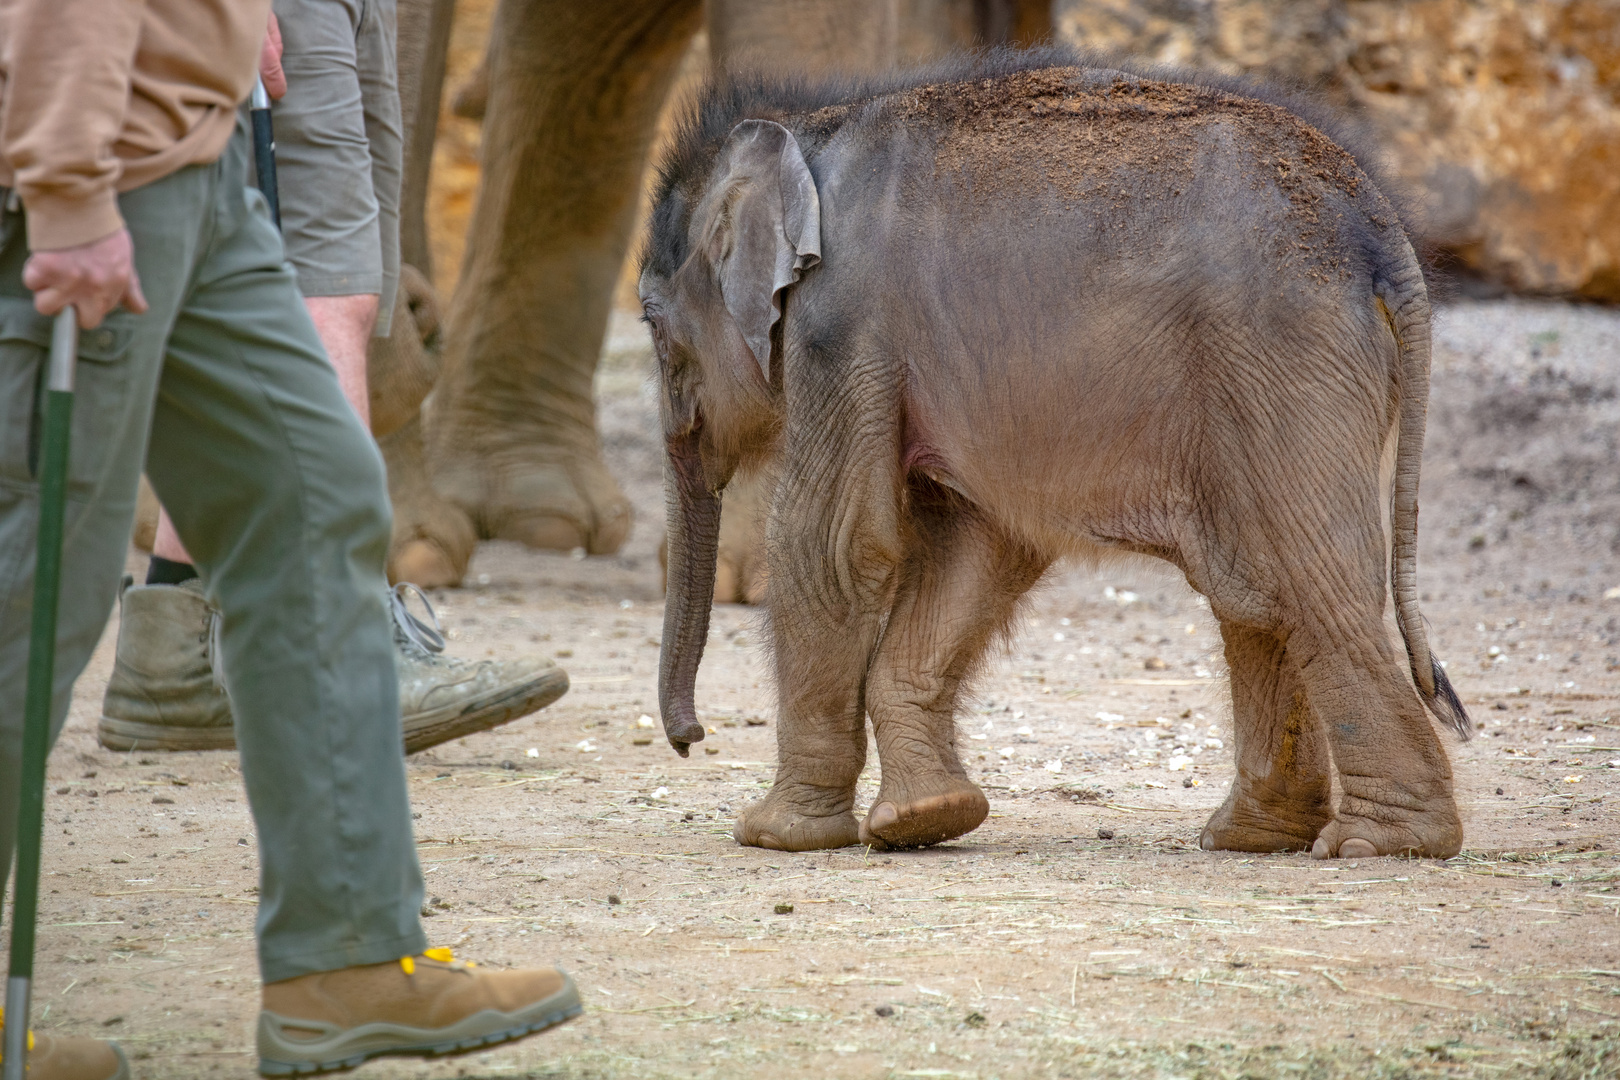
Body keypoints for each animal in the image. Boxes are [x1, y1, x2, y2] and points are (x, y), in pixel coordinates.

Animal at [638, 48, 1477, 861]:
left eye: (649, 321)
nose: (689, 738)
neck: (807, 128)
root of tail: (1382, 228)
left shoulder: (839, 327)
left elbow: (834, 546)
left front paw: (774, 835)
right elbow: (979, 548)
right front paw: (925, 820)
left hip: (1282, 353)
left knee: (1310, 576)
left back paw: (1382, 842)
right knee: (1255, 587)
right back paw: (1252, 837)